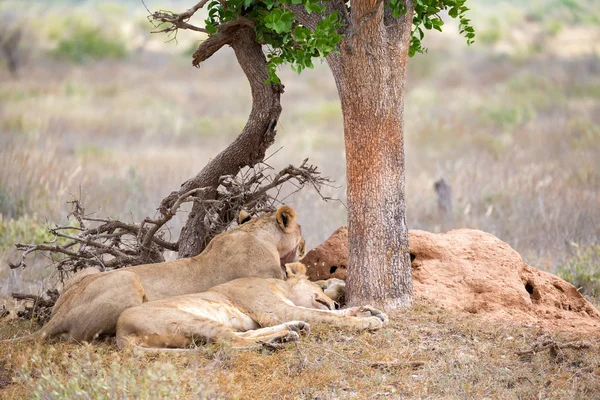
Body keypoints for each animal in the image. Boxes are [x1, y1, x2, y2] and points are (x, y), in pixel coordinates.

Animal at [10, 208, 304, 342]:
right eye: (300, 233)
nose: (304, 245)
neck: (254, 233)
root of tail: (58, 315)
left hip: (88, 272)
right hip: (128, 281)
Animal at [116, 262, 390, 350]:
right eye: (320, 288)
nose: (333, 302)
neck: (279, 286)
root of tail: (120, 333)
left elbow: (332, 314)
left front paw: (369, 310)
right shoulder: (276, 309)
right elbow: (330, 317)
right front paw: (367, 320)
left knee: (243, 335)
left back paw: (292, 331)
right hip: (191, 319)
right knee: (230, 342)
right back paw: (282, 338)